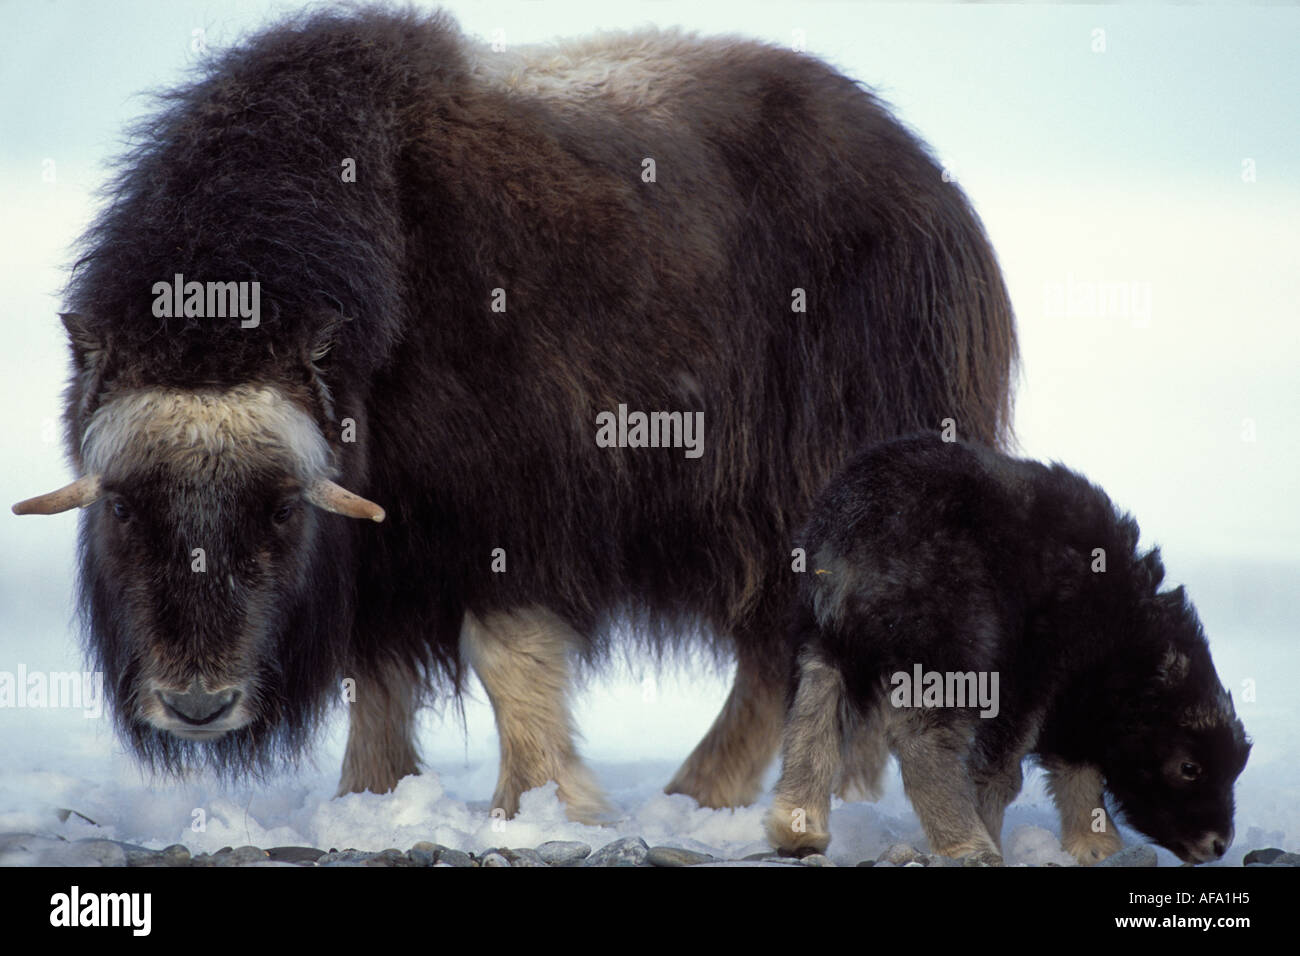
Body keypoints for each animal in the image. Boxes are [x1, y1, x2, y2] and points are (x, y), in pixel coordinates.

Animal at [769, 437, 1248, 863]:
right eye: (1189, 767)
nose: (1217, 844)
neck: (1122, 628)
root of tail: (858, 528)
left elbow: (1076, 769)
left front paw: (1098, 846)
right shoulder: (1030, 680)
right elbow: (1007, 771)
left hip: (826, 637)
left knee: (814, 712)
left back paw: (798, 828)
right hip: (953, 649)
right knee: (925, 742)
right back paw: (968, 845)